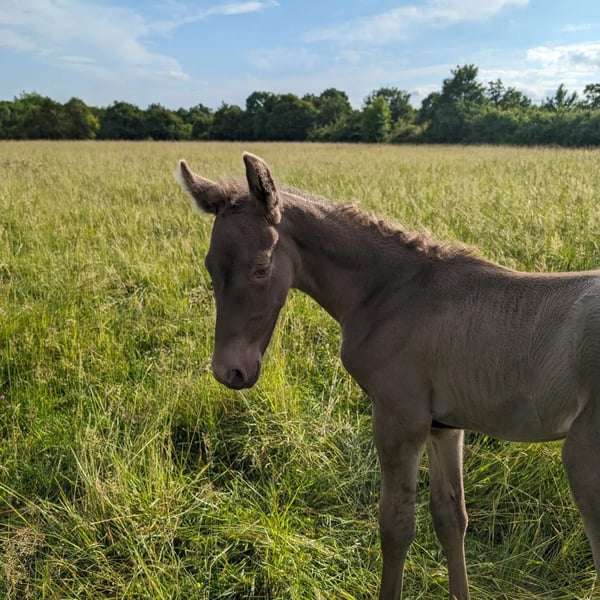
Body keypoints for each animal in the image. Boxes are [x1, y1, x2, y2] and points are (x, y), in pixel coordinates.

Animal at [174, 152, 600, 600]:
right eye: (210, 265)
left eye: (260, 268)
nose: (230, 371)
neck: (391, 292)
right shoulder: (444, 427)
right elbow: (451, 518)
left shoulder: (399, 419)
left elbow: (396, 527)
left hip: (583, 460)